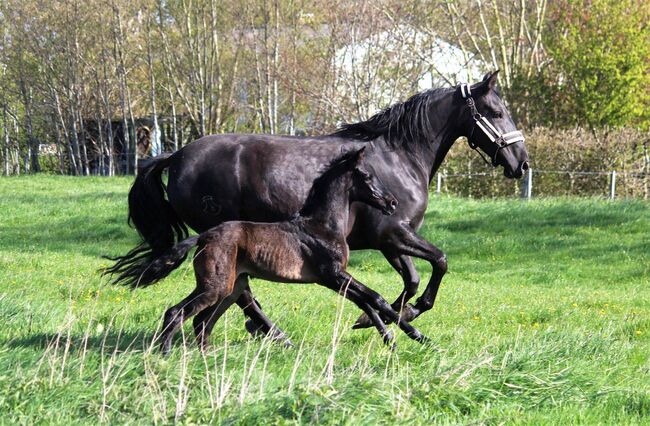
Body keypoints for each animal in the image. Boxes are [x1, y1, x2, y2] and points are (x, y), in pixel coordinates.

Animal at [107, 70, 528, 342]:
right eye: (496, 112)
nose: (521, 164)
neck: (399, 156)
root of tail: (175, 156)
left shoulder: (391, 241)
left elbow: (410, 279)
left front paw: (383, 318)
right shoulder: (393, 233)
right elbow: (438, 263)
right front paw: (392, 318)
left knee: (236, 291)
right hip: (224, 237)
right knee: (239, 292)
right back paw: (271, 332)